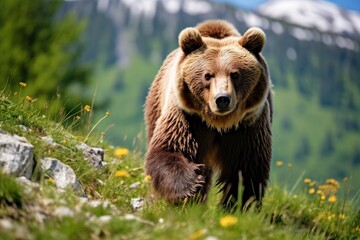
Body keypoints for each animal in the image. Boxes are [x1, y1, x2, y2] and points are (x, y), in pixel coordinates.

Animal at [145, 19, 272, 210]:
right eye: (207, 75)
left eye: (235, 74)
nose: (222, 99)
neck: (219, 123)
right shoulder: (188, 118)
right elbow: (171, 148)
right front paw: (191, 185)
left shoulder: (247, 126)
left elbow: (247, 168)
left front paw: (238, 205)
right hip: (157, 102)